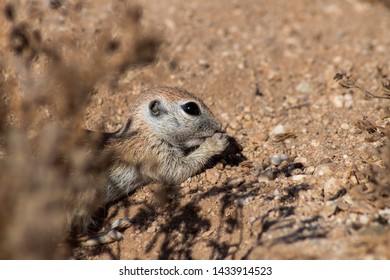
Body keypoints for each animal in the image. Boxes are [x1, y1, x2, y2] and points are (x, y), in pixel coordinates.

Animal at [74, 87, 230, 245]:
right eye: (191, 108)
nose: (219, 126)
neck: (146, 132)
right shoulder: (155, 155)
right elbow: (177, 171)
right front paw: (216, 142)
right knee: (78, 236)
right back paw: (109, 232)